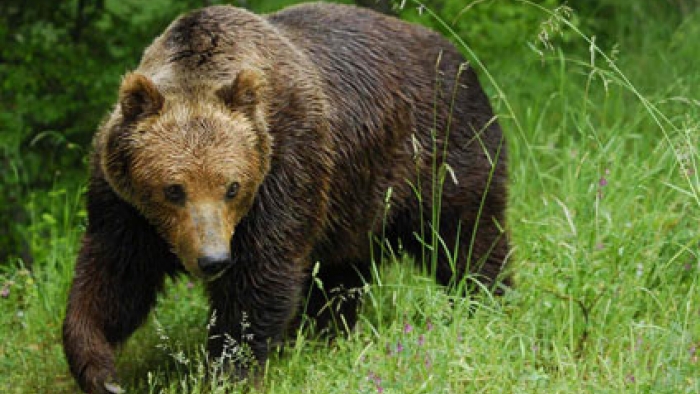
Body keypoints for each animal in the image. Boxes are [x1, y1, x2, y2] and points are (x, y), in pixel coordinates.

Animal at [61, 2, 508, 390]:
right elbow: (114, 278)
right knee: (342, 273)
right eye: (174, 189)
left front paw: (229, 370)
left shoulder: (285, 168)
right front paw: (100, 370)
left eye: (232, 186)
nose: (213, 259)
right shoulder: (125, 206)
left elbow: (260, 276)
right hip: (353, 201)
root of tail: (457, 55)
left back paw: (484, 299)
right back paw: (330, 332)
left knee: (466, 233)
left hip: (439, 149)